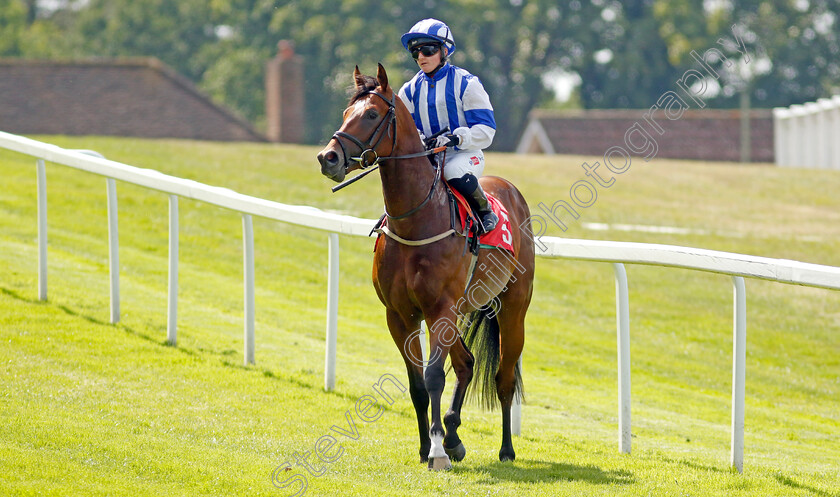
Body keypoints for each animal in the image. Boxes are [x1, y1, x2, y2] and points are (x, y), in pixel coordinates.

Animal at [318, 63, 536, 468]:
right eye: (345, 112)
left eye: (371, 115)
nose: (329, 158)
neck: (417, 220)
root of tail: (511, 191)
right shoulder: (400, 314)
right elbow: (417, 384)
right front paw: (427, 447)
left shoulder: (439, 309)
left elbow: (434, 376)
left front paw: (436, 452)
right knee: (466, 363)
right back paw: (454, 437)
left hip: (512, 309)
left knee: (503, 379)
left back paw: (504, 449)